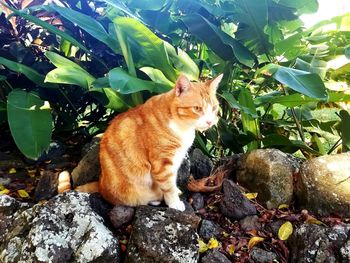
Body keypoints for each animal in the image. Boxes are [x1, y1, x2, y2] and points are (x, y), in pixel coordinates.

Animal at [57, 74, 221, 212]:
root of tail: (101, 184)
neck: (181, 126)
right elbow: (168, 186)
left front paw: (175, 192)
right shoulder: (162, 163)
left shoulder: (175, 160)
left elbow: (172, 182)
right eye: (197, 108)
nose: (209, 122)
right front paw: (174, 202)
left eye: (214, 108)